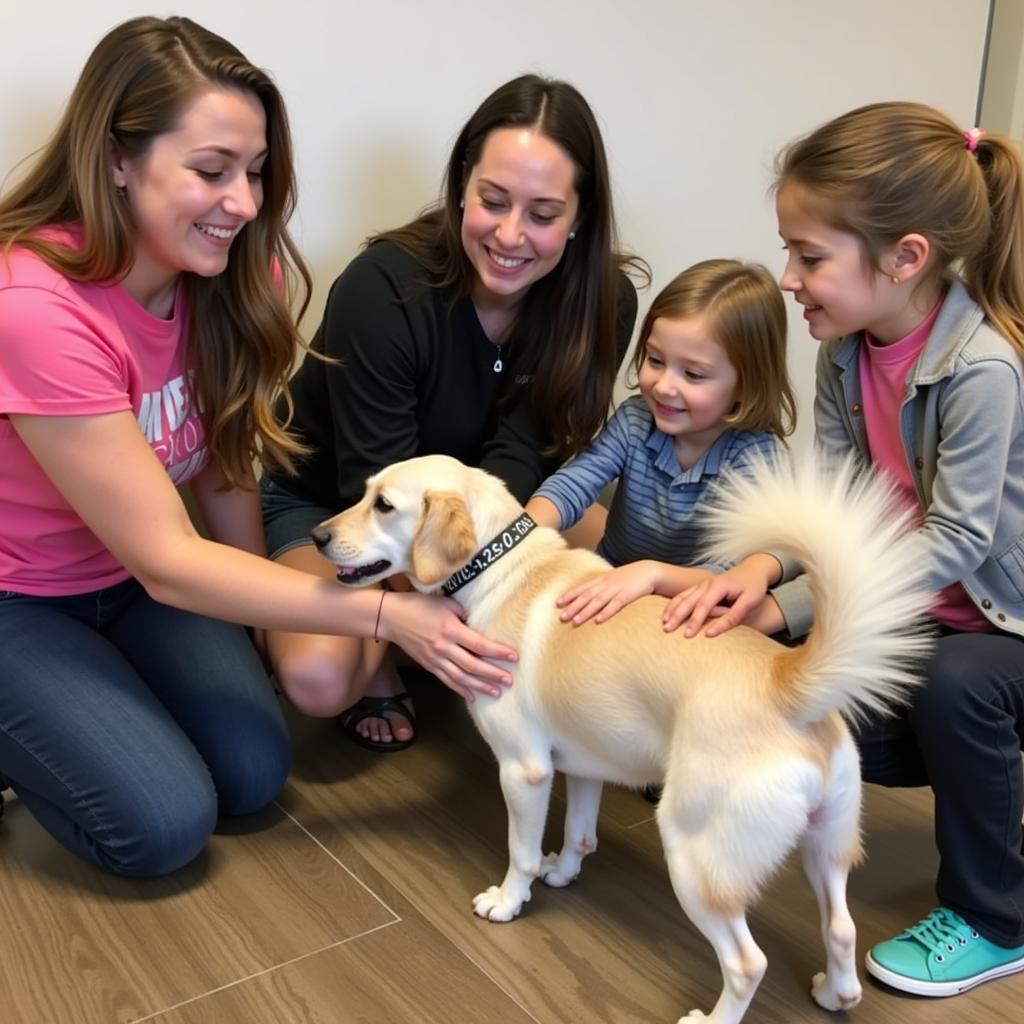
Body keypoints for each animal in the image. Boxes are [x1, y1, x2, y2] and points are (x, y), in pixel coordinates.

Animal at [313, 456, 937, 1024]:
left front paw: (509, 901)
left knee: (746, 964)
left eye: (384, 505)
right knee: (840, 927)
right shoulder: (586, 765)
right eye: (364, 492)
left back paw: (711, 1020)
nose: (318, 536)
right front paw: (562, 872)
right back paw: (836, 994)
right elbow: (580, 834)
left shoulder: (524, 771)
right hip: (825, 848)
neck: (504, 571)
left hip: (693, 855)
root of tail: (788, 684)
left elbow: (519, 853)